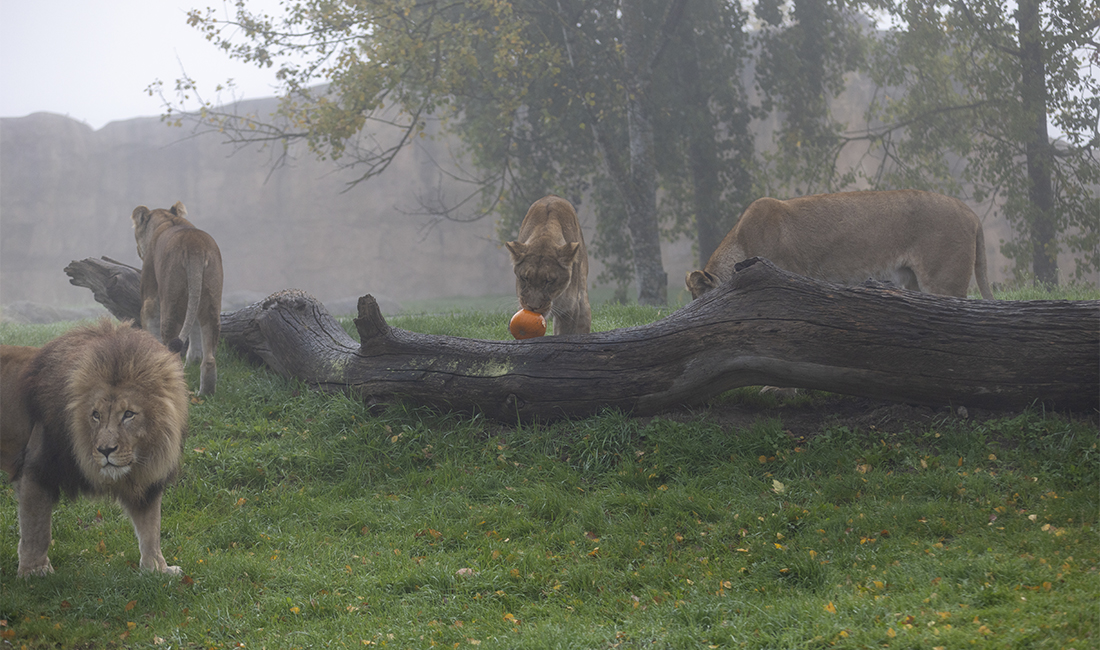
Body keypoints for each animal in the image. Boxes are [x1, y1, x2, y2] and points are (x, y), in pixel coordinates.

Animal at [1, 320, 189, 577]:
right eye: (96, 415)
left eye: (128, 414)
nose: (105, 450)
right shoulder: (38, 469)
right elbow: (36, 530)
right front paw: (34, 572)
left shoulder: (146, 480)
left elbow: (151, 528)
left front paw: (158, 569)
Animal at [132, 201, 224, 395]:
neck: (167, 219)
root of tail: (195, 249)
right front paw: (193, 360)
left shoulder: (150, 296)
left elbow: (149, 326)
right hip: (210, 300)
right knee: (209, 357)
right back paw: (205, 393)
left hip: (171, 300)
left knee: (173, 353)